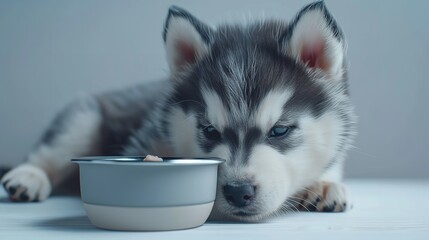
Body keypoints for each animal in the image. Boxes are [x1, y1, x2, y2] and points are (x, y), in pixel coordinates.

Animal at [1, 1, 354, 222]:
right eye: (209, 130)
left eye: (279, 130)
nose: (237, 191)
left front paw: (324, 184)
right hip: (83, 118)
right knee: (51, 152)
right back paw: (28, 177)